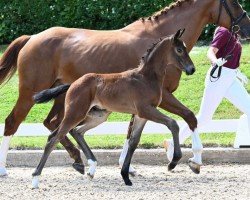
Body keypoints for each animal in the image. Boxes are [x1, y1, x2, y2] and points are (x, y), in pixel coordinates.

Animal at [31, 29, 195, 188]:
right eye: (179, 50)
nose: (191, 69)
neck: (146, 78)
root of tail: (73, 84)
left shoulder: (141, 115)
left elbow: (133, 141)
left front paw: (126, 176)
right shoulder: (146, 110)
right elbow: (172, 123)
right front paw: (173, 162)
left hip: (98, 116)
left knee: (76, 132)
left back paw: (91, 168)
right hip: (75, 113)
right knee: (54, 138)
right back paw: (35, 179)